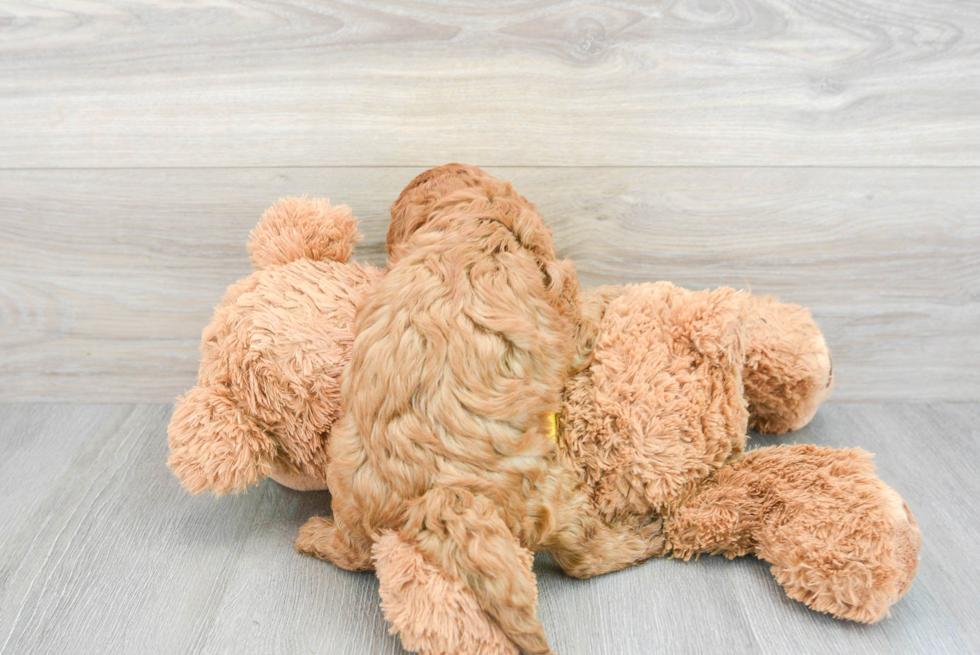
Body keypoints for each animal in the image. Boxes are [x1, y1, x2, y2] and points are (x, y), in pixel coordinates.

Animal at [292, 165, 660, 655]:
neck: (469, 217)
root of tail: (441, 496)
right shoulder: (560, 295)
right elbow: (583, 310)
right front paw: (610, 296)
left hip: (346, 472)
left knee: (355, 551)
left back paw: (313, 536)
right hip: (554, 491)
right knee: (580, 556)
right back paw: (638, 539)